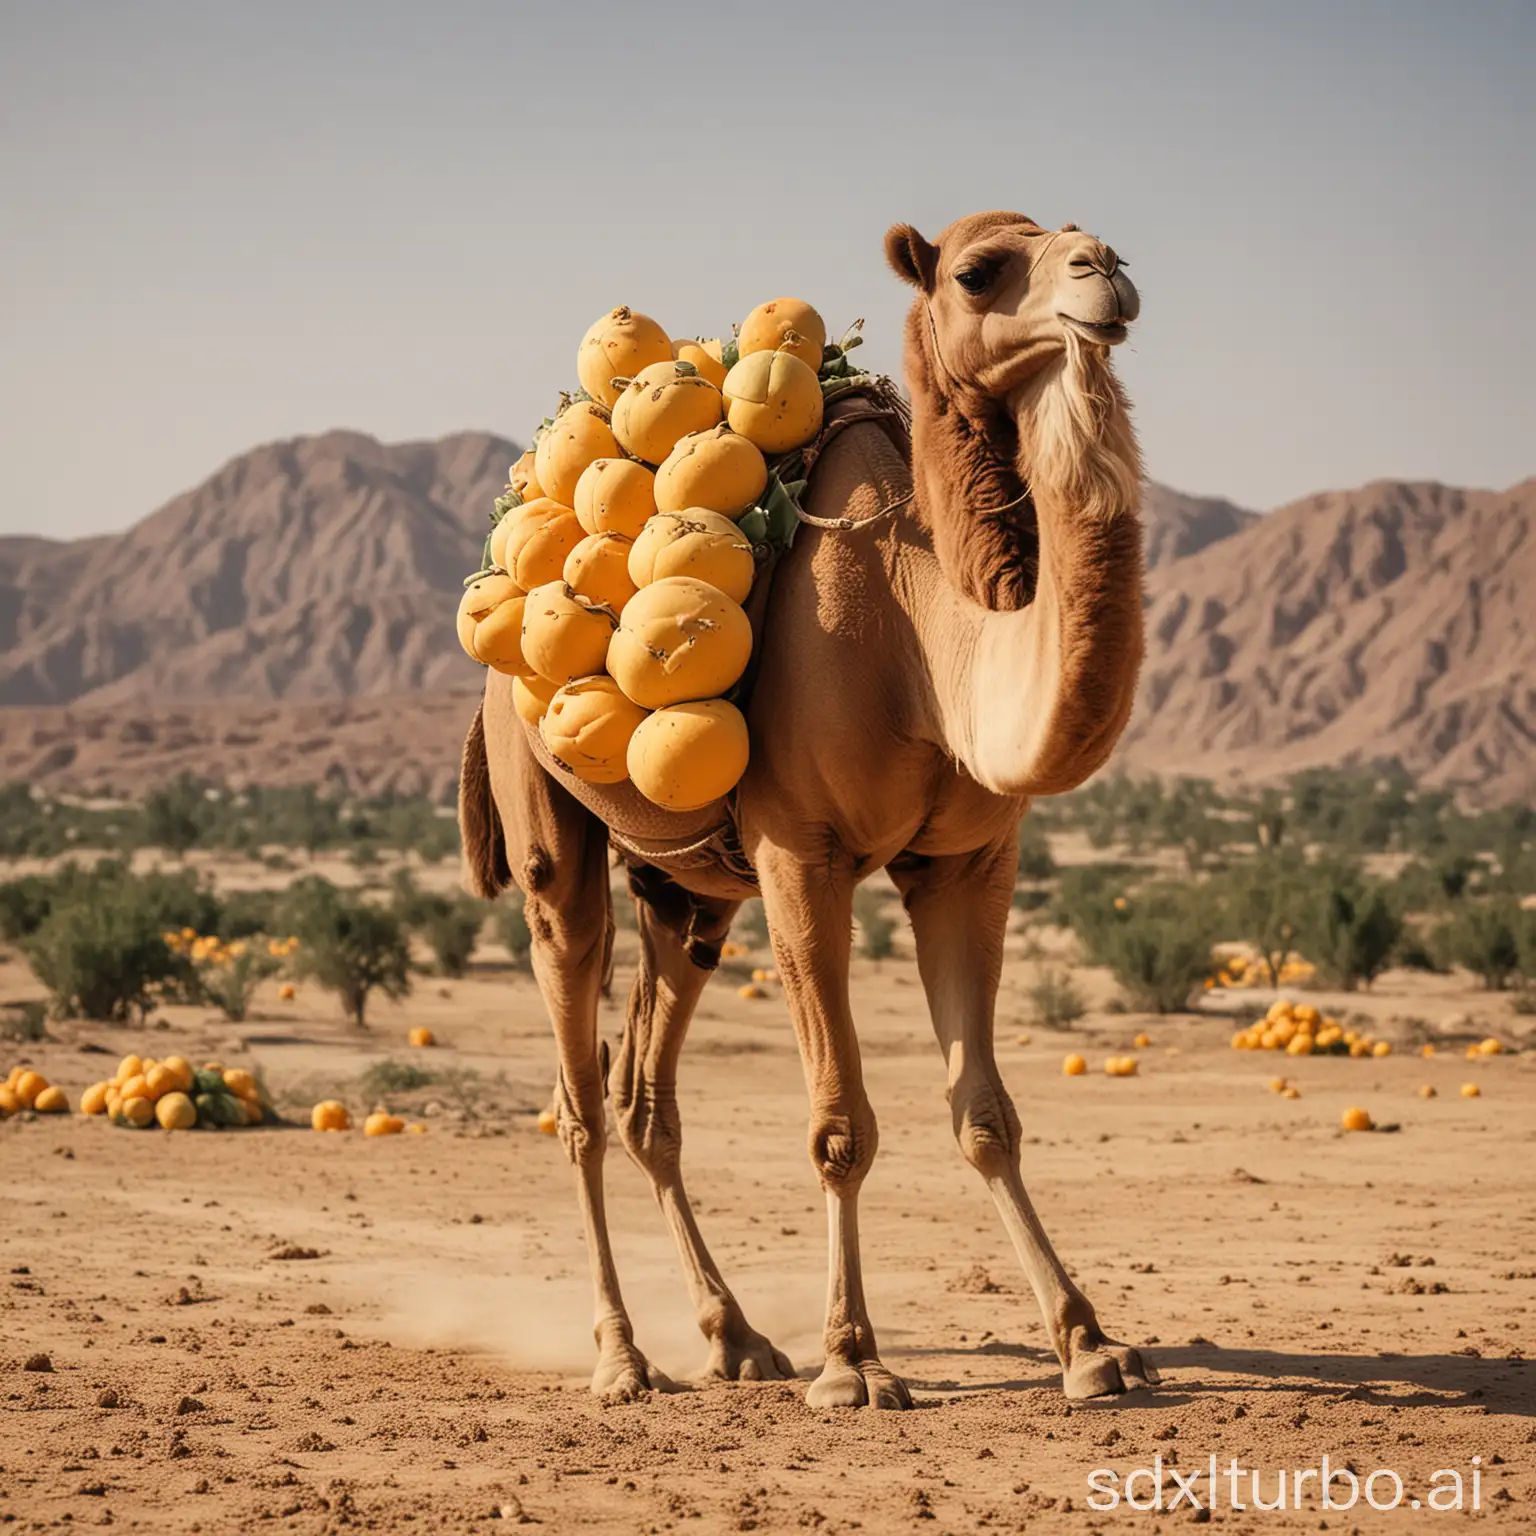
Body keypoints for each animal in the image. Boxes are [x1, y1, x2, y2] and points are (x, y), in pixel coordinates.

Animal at [460, 210, 1155, 1406]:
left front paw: (1090, 1345)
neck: (920, 640)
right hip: (554, 838)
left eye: (1087, 236)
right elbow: (841, 1124)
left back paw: (735, 1337)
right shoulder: (801, 853)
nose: (1102, 276)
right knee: (581, 1100)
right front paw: (854, 1364)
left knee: (647, 1098)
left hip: (689, 890)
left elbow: (987, 1117)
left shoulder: (968, 864)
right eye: (980, 271)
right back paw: (623, 1359)